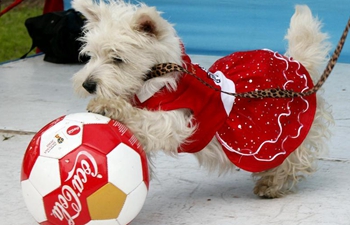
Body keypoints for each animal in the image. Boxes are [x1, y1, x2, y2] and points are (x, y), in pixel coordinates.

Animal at [72, 0, 344, 197]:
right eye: (90, 55)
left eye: (118, 59)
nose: (87, 85)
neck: (155, 80)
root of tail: (297, 63)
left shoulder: (174, 121)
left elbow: (144, 120)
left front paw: (109, 106)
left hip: (287, 131)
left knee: (296, 157)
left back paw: (273, 183)